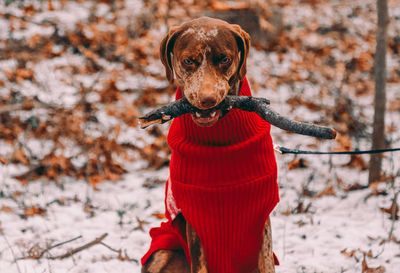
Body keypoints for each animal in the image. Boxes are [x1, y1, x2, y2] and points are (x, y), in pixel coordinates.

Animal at [142, 17, 280, 272]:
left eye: (224, 59)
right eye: (188, 61)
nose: (207, 99)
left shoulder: (262, 216)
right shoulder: (194, 219)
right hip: (161, 250)